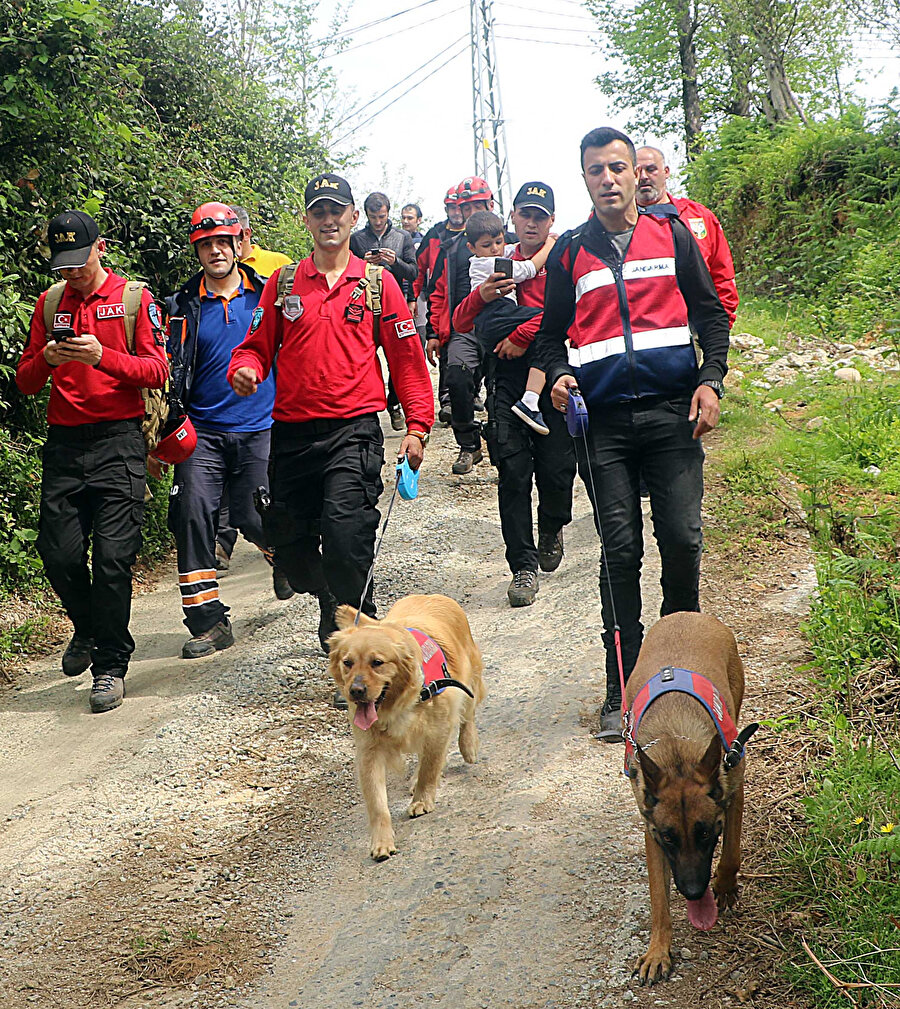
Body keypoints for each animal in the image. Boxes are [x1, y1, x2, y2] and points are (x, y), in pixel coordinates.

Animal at [621, 609, 750, 980]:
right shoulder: (651, 832)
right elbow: (658, 899)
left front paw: (724, 886)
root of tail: (684, 614)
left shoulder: (734, 788)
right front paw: (658, 951)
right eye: (669, 838)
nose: (693, 893)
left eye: (705, 833)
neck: (676, 751)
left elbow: (731, 852)